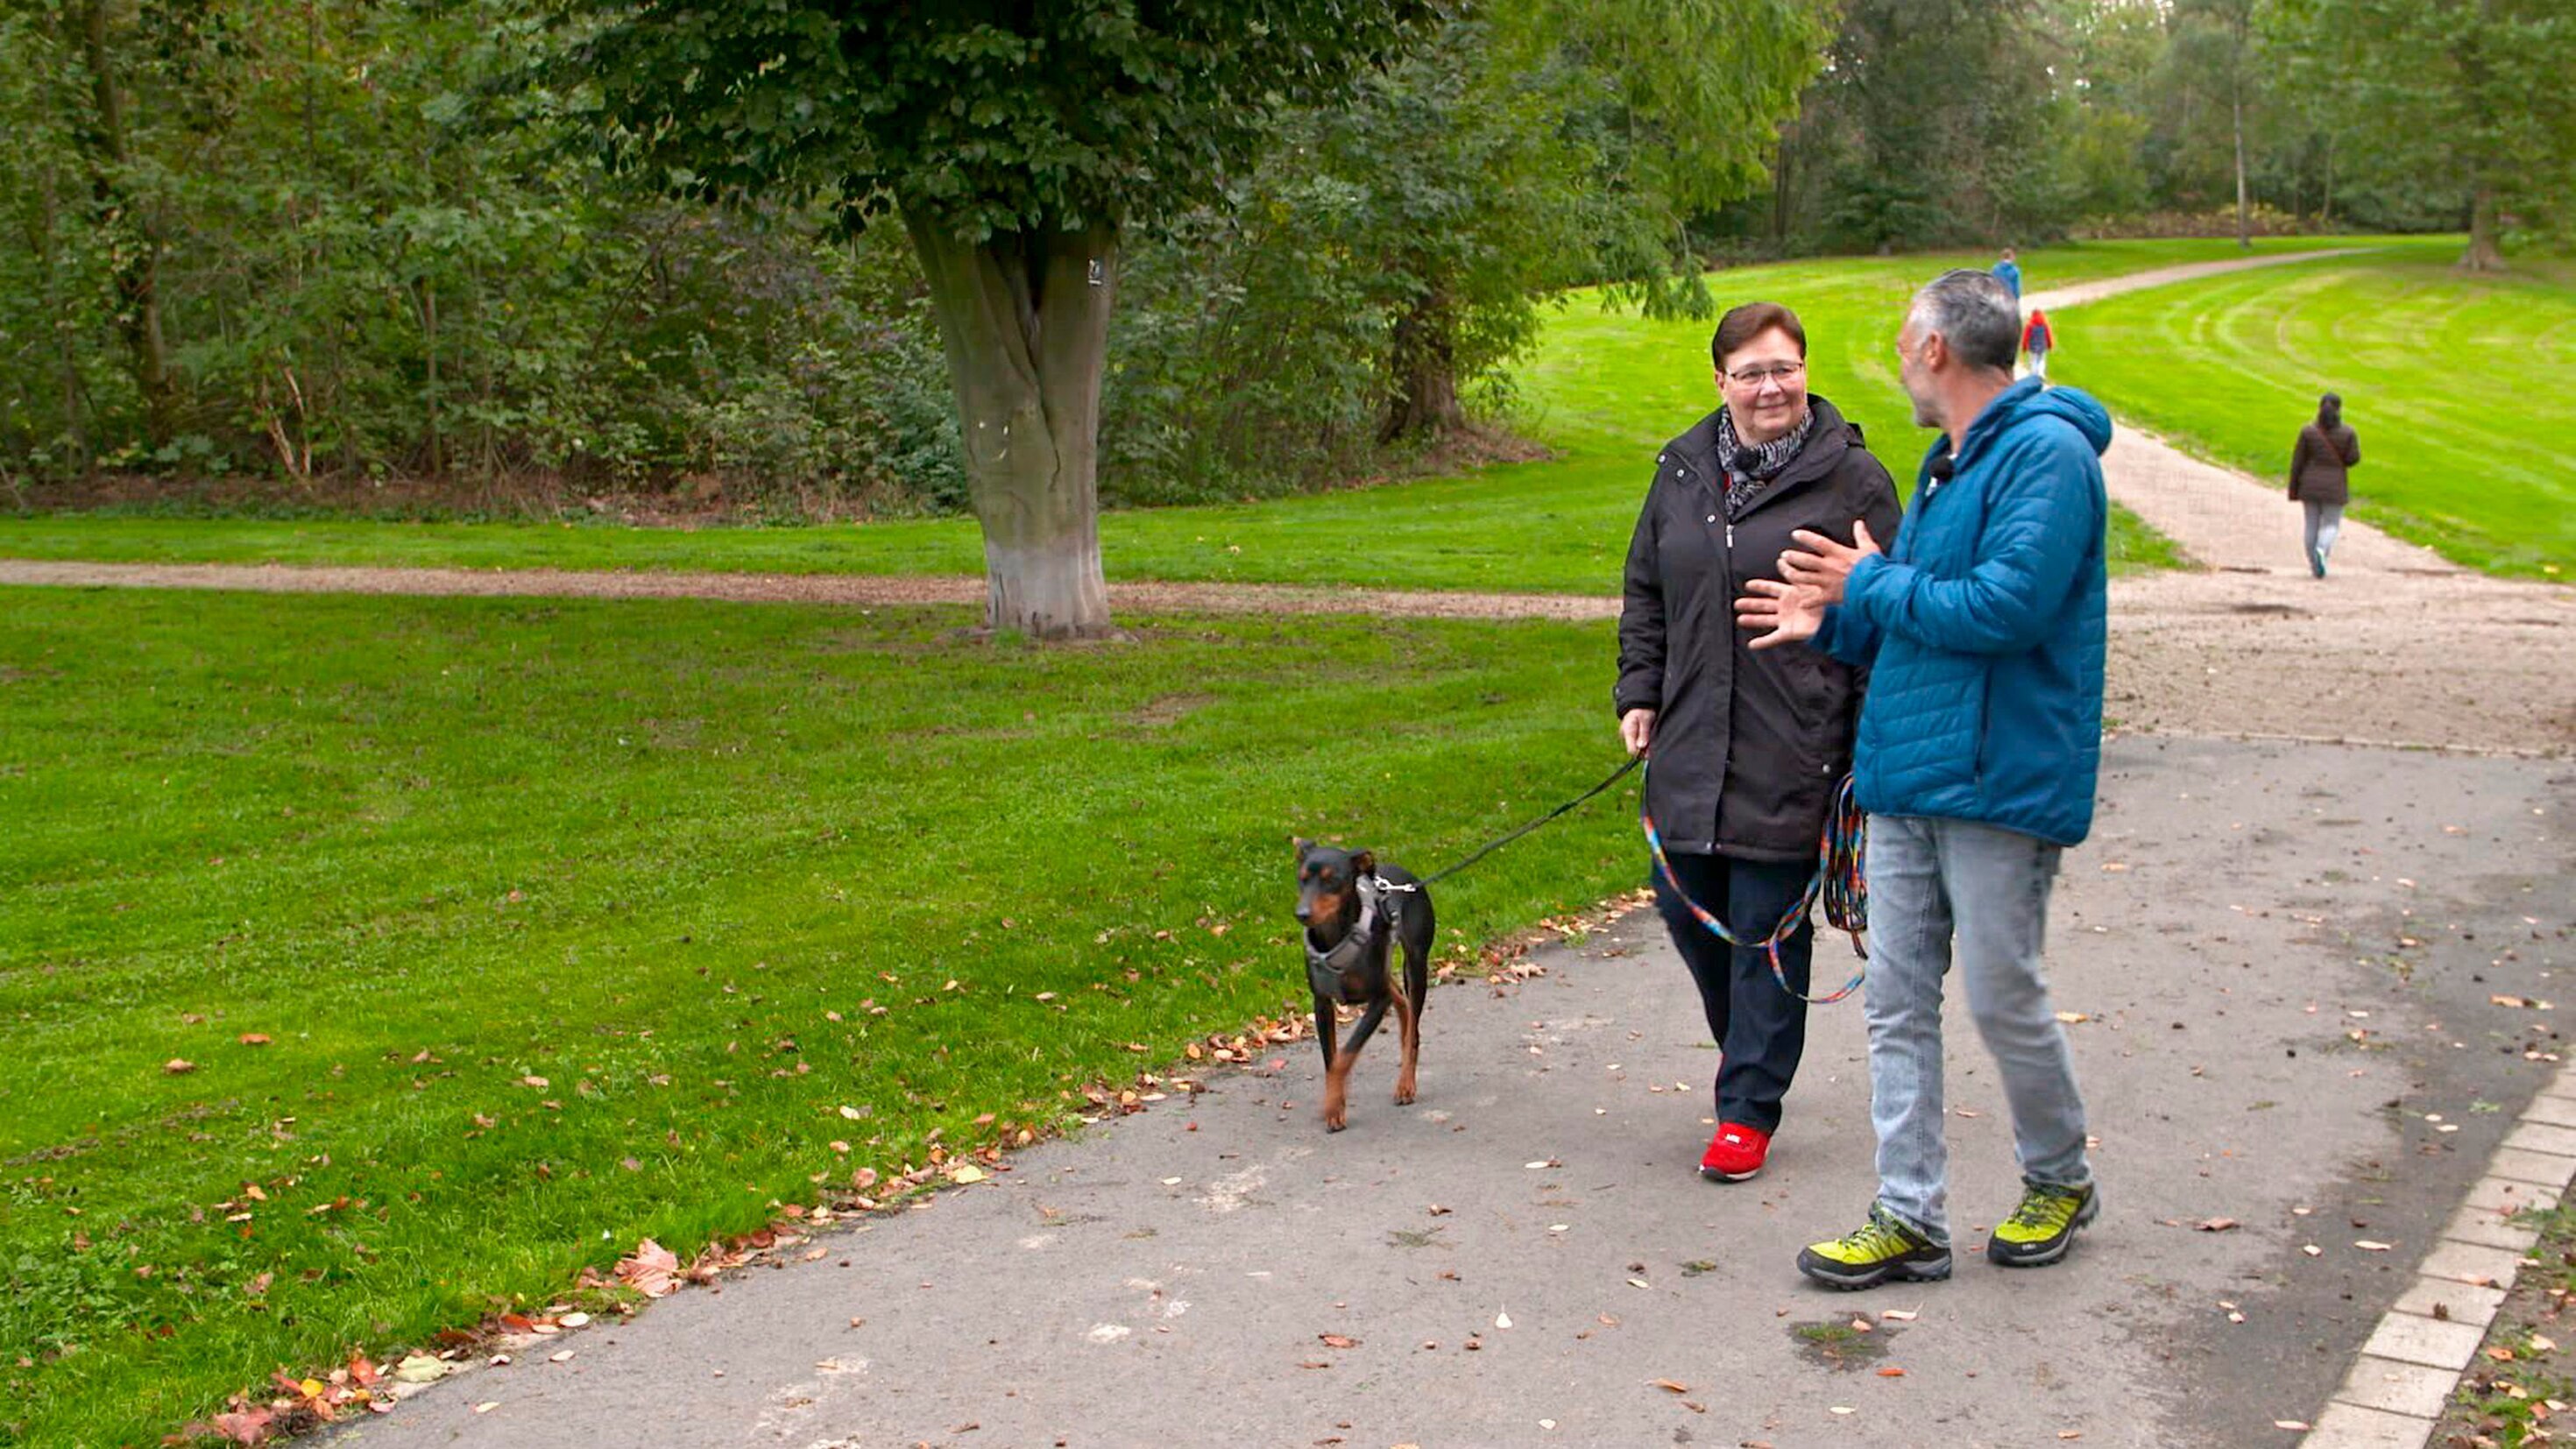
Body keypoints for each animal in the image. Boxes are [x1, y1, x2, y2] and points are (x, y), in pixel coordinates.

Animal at [1298, 838, 1442, 1132]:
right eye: (1301, 878)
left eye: (1332, 880)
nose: (1302, 914)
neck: (1335, 938)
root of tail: (1407, 876)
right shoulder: (1321, 1002)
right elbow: (1331, 1060)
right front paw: (1336, 1103)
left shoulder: (1378, 1000)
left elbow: (1345, 1056)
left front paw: (1333, 1104)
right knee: (1403, 1005)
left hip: (1416, 964)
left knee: (1413, 1028)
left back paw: (1406, 1084)